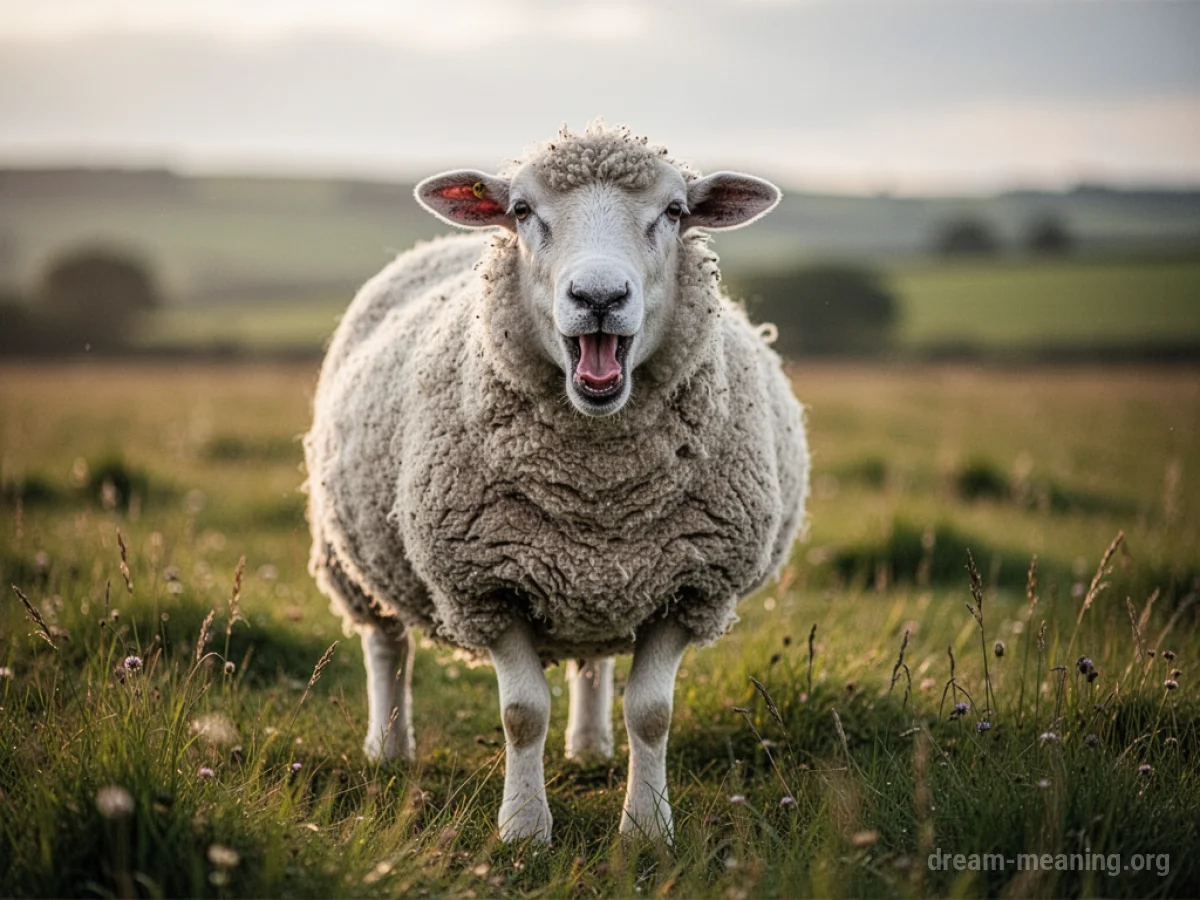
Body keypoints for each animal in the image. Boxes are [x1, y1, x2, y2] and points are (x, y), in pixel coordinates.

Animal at [304, 121, 809, 843]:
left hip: (601, 586)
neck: (599, 487)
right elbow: (522, 714)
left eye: (675, 212)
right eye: (521, 211)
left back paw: (591, 747)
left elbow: (651, 713)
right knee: (385, 644)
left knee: (592, 658)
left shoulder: (691, 586)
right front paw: (523, 829)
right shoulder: (486, 585)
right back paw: (389, 748)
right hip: (354, 555)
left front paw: (647, 828)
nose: (598, 298)